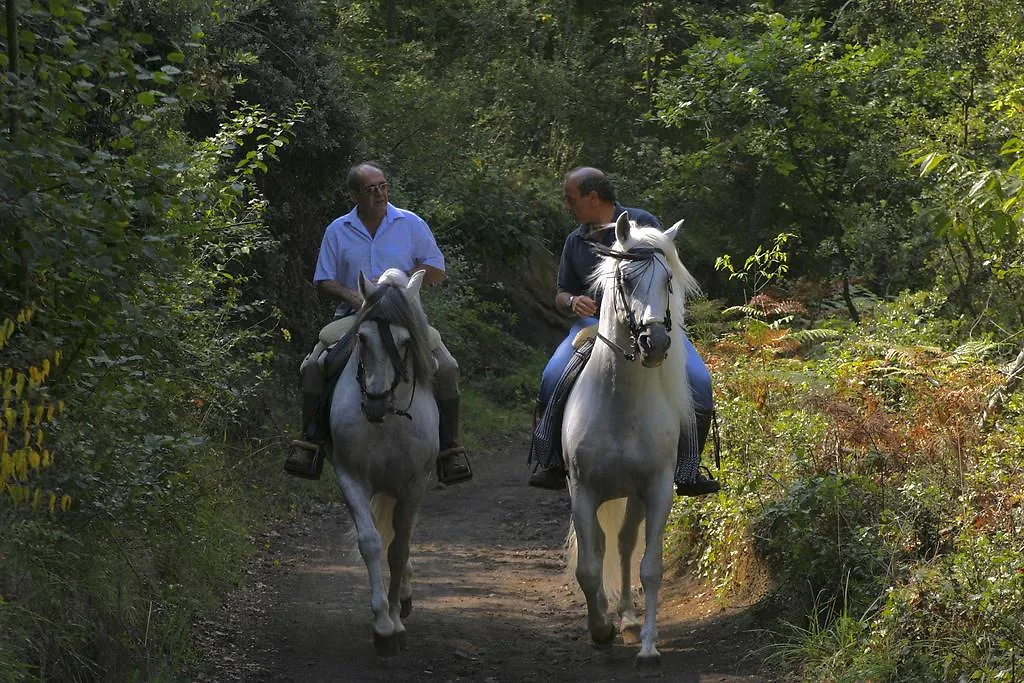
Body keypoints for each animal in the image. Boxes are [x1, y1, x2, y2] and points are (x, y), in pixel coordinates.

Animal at [329, 266, 438, 655]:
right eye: (361, 338)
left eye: (405, 343)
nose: (375, 403)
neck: (387, 421)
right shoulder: (350, 477)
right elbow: (372, 543)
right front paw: (381, 624)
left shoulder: (415, 485)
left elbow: (398, 550)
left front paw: (394, 621)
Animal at [565, 211, 700, 667]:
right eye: (625, 280)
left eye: (668, 281)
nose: (655, 343)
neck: (621, 403)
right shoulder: (582, 492)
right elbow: (588, 568)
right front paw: (599, 630)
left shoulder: (657, 490)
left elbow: (650, 568)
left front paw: (648, 645)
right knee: (606, 545)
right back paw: (612, 617)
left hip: (635, 496)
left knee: (624, 545)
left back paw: (625, 616)